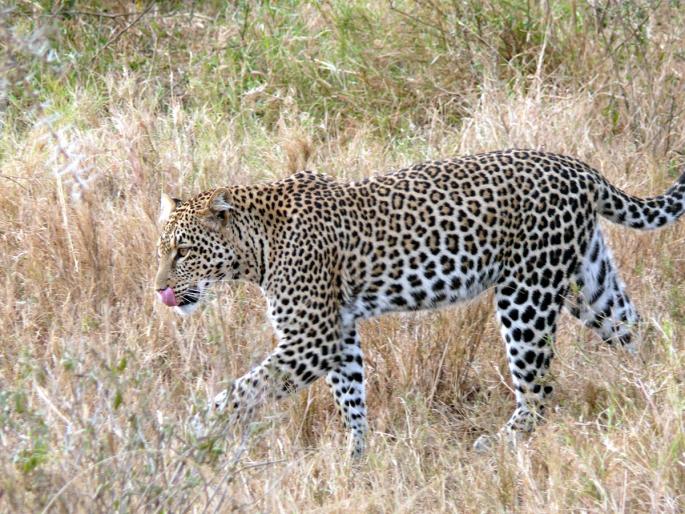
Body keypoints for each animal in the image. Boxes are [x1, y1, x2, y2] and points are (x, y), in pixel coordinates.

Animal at [154, 149, 685, 456]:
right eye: (162, 249)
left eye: (182, 250)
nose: (159, 290)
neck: (257, 247)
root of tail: (579, 168)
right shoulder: (338, 333)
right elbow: (351, 398)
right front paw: (356, 460)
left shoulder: (311, 339)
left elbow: (244, 389)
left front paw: (192, 433)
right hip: (588, 283)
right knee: (639, 331)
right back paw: (660, 396)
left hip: (526, 293)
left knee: (538, 389)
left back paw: (498, 445)